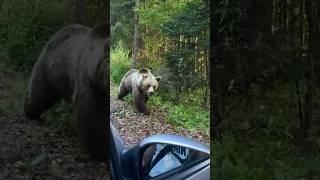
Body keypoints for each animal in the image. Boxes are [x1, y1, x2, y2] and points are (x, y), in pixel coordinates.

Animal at [23, 23, 109, 162]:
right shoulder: (89, 86)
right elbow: (92, 118)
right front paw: (101, 152)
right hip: (49, 70)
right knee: (39, 95)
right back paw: (32, 114)